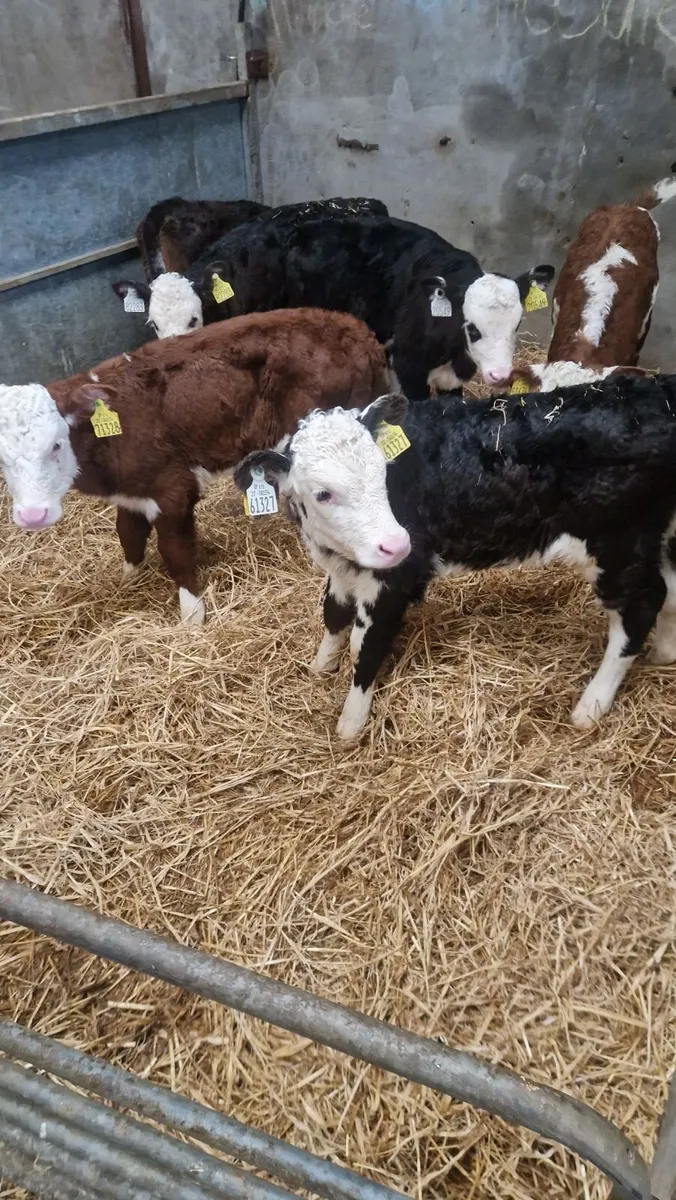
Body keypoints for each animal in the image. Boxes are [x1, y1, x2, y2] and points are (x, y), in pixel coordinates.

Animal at [0, 311, 388, 626]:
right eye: (2, 458)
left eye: (56, 443)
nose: (32, 515)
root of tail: (356, 329)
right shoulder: (131, 492)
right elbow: (129, 534)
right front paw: (128, 580)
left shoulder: (173, 490)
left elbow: (175, 552)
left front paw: (191, 615)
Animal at [234, 380, 676, 740]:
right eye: (323, 494)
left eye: (382, 471)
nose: (397, 543)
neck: (335, 551)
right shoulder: (343, 570)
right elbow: (333, 615)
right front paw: (320, 667)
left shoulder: (394, 580)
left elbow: (367, 645)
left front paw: (350, 724)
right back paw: (664, 654)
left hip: (618, 542)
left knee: (642, 606)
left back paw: (591, 706)